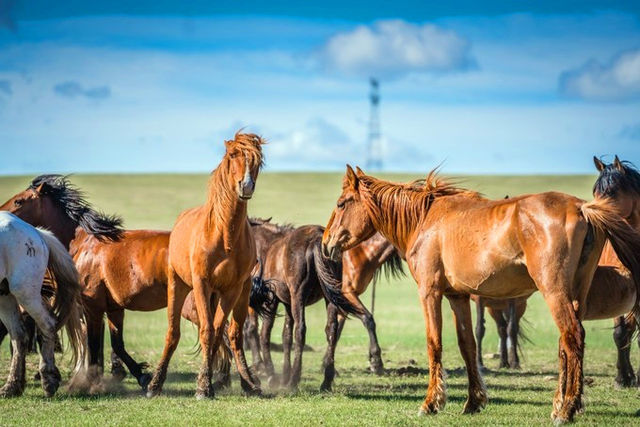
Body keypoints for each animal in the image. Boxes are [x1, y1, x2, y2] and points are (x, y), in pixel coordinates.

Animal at [0, 213, 86, 398]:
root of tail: (36, 232)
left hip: (25, 293)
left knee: (47, 324)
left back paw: (48, 380)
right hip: (4, 295)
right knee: (18, 335)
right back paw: (12, 387)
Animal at [146, 132, 264, 400]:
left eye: (258, 160)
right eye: (233, 154)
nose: (246, 186)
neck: (224, 234)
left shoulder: (231, 289)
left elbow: (219, 330)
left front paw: (206, 382)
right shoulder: (201, 284)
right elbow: (208, 331)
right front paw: (204, 387)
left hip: (240, 294)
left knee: (234, 334)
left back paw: (249, 383)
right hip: (178, 286)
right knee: (173, 333)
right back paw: (155, 385)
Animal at [322, 166, 640, 422]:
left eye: (341, 203)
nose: (326, 243)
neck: (425, 221)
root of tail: (581, 208)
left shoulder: (430, 292)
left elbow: (434, 343)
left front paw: (431, 403)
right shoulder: (458, 297)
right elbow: (468, 346)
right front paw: (473, 401)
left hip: (554, 291)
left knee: (572, 336)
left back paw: (567, 409)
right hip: (576, 294)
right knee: (566, 343)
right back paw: (563, 404)